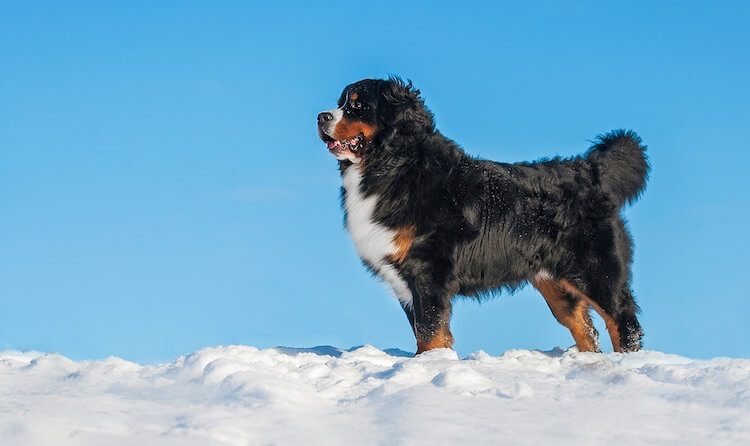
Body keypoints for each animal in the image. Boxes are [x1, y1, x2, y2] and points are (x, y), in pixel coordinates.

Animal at [318, 77, 652, 356]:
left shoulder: (428, 271)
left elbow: (429, 331)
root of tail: (589, 169)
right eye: (340, 103)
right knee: (586, 331)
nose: (321, 117)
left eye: (358, 105)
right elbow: (427, 332)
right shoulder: (405, 280)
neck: (394, 165)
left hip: (597, 272)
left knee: (623, 322)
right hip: (557, 285)